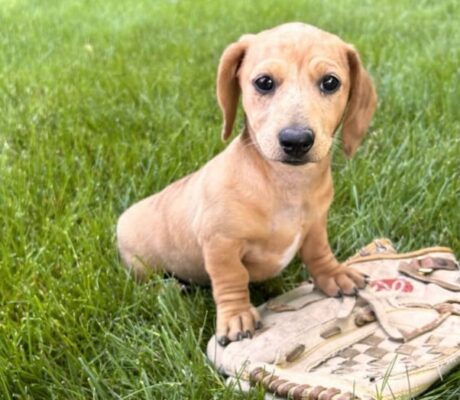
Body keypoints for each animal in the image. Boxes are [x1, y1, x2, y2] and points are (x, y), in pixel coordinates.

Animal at [117, 23, 378, 346]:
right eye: (264, 82)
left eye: (330, 82)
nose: (296, 141)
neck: (284, 184)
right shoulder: (220, 243)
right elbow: (232, 278)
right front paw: (236, 316)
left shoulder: (316, 224)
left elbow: (318, 251)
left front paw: (333, 274)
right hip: (140, 264)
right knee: (147, 282)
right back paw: (169, 289)